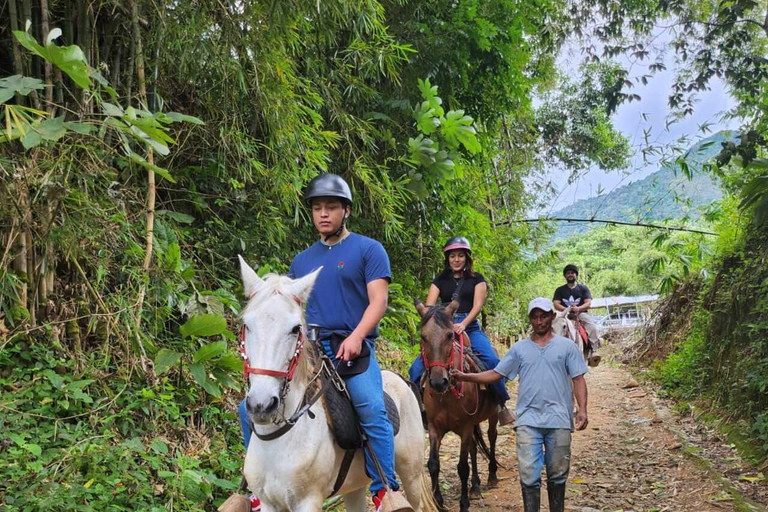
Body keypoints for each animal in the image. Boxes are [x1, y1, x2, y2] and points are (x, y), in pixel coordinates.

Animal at [237, 258, 436, 512]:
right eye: (247, 325)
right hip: (355, 486)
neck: (282, 438)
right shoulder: (268, 503)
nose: (261, 405)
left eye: (295, 328)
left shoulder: (308, 501)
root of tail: (401, 380)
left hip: (411, 475)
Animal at [416, 300, 500, 512]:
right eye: (423, 337)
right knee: (474, 447)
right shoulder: (434, 427)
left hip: (492, 414)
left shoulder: (465, 426)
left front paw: (463, 504)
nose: (438, 382)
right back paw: (475, 486)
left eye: (449, 335)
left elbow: (462, 467)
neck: (446, 395)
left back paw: (492, 475)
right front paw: (438, 501)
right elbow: (433, 464)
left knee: (492, 437)